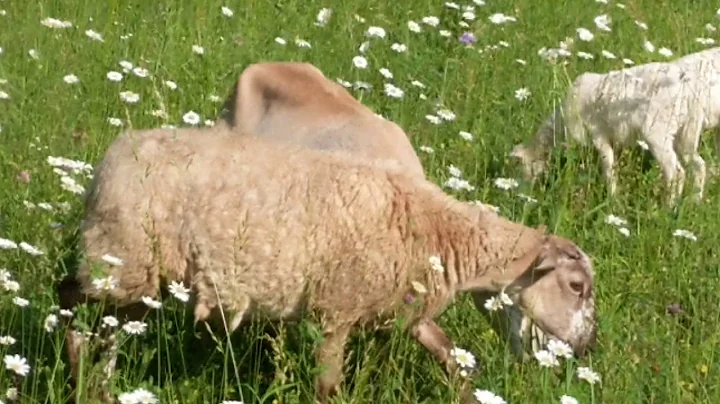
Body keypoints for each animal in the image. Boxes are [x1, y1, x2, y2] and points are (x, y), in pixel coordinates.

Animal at [58, 127, 597, 403]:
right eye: (576, 285)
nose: (588, 346)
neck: (438, 234)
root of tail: (111, 158)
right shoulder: (336, 308)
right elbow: (328, 387)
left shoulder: (403, 310)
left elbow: (451, 359)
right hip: (120, 257)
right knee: (71, 302)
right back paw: (76, 371)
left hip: (139, 279)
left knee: (109, 329)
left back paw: (98, 387)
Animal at [511, 47, 720, 205]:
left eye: (521, 169)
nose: (521, 193)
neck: (559, 124)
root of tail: (686, 89)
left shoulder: (598, 136)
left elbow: (608, 168)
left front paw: (611, 200)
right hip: (686, 132)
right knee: (699, 166)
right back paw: (694, 203)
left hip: (658, 134)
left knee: (675, 173)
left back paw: (669, 208)